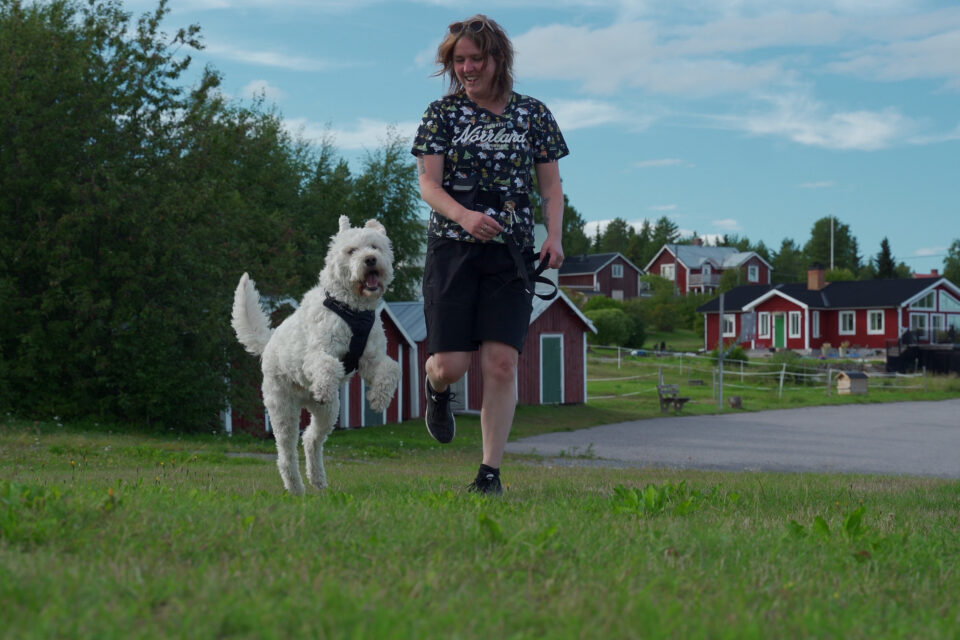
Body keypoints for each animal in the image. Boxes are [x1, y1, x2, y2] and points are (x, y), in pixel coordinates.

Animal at [232, 216, 402, 496]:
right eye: (351, 251)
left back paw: (318, 480)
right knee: (286, 454)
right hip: (283, 411)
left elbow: (391, 369)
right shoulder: (316, 354)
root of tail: (268, 343)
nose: (370, 260)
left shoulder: (372, 359)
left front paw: (379, 399)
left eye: (374, 247)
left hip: (328, 413)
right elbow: (329, 365)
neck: (352, 310)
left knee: (311, 439)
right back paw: (296, 487)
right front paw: (323, 387)